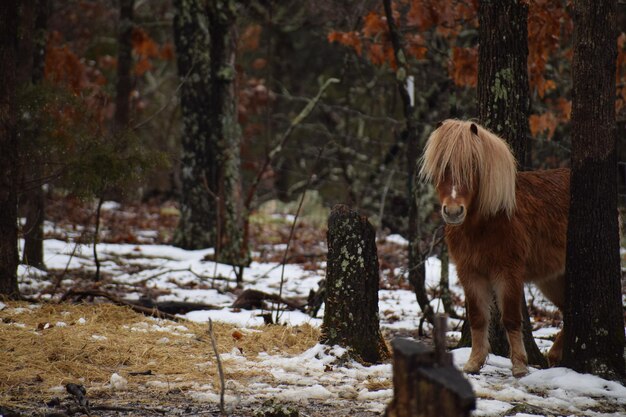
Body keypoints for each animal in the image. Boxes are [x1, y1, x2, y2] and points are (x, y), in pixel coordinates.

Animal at [416, 119, 568, 376]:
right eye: (442, 167)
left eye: (472, 167)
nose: (454, 212)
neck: (489, 221)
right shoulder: (469, 272)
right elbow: (478, 317)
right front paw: (474, 362)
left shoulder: (509, 273)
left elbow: (511, 318)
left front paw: (519, 366)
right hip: (551, 280)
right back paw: (555, 356)